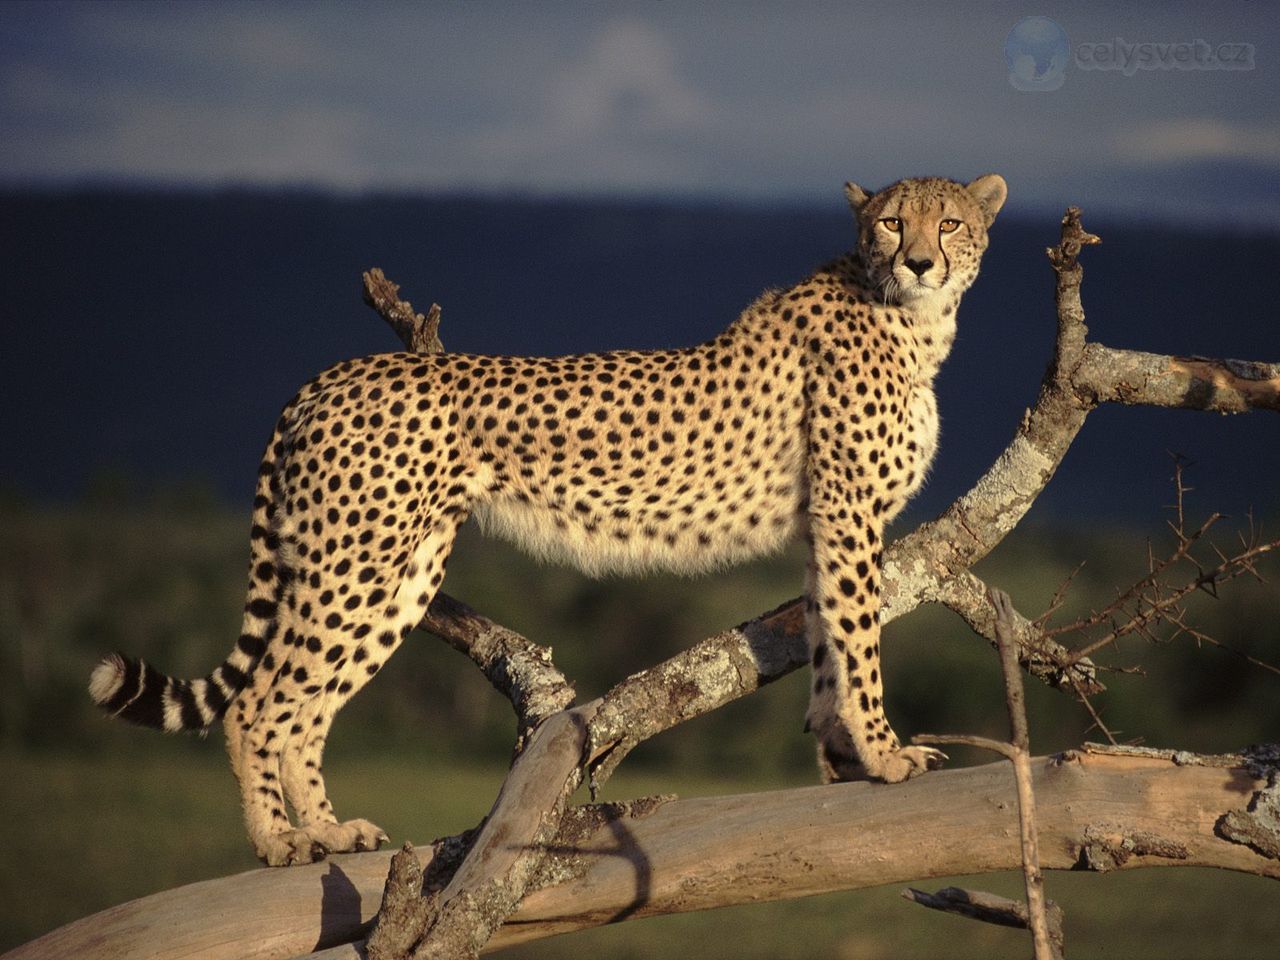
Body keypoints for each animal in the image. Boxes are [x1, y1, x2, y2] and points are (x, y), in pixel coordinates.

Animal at [90, 175, 1008, 870]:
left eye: (949, 221)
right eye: (891, 221)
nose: (920, 261)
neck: (907, 316)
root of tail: (334, 372)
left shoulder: (826, 522)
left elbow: (828, 639)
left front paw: (846, 756)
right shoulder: (849, 514)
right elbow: (859, 638)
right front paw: (885, 754)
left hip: (397, 576)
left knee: (305, 709)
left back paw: (327, 829)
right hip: (355, 564)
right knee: (259, 705)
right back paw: (279, 843)